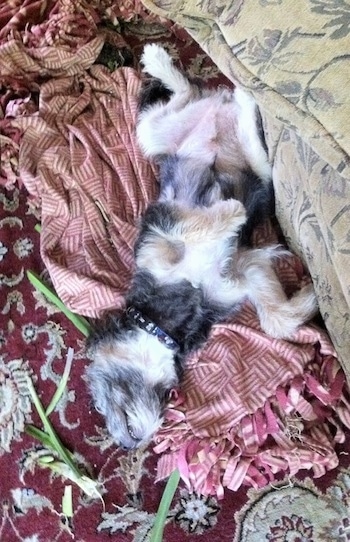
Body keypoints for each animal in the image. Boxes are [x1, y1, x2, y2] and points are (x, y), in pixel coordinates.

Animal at [85, 47, 318, 454]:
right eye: (168, 398)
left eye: (101, 402)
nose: (131, 445)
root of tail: (214, 112)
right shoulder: (241, 271)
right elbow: (275, 318)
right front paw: (307, 301)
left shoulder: (159, 228)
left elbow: (190, 224)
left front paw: (232, 212)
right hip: (156, 135)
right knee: (203, 111)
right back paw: (238, 97)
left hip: (156, 134)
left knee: (188, 94)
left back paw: (165, 63)